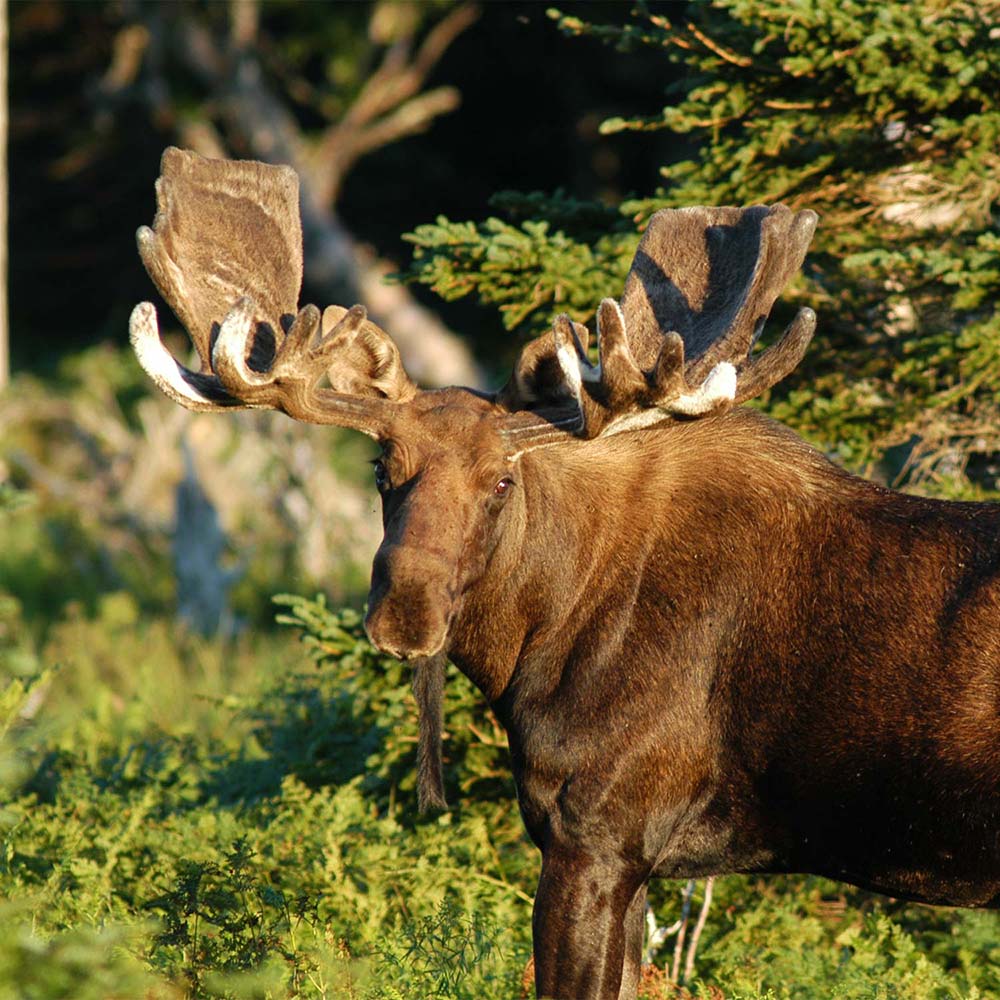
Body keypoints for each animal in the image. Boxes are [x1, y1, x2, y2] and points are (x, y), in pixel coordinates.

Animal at [131, 150, 1000, 1000]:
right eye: (382, 467)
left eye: (501, 481)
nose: (405, 612)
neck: (536, 641)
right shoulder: (634, 860)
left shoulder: (596, 834)